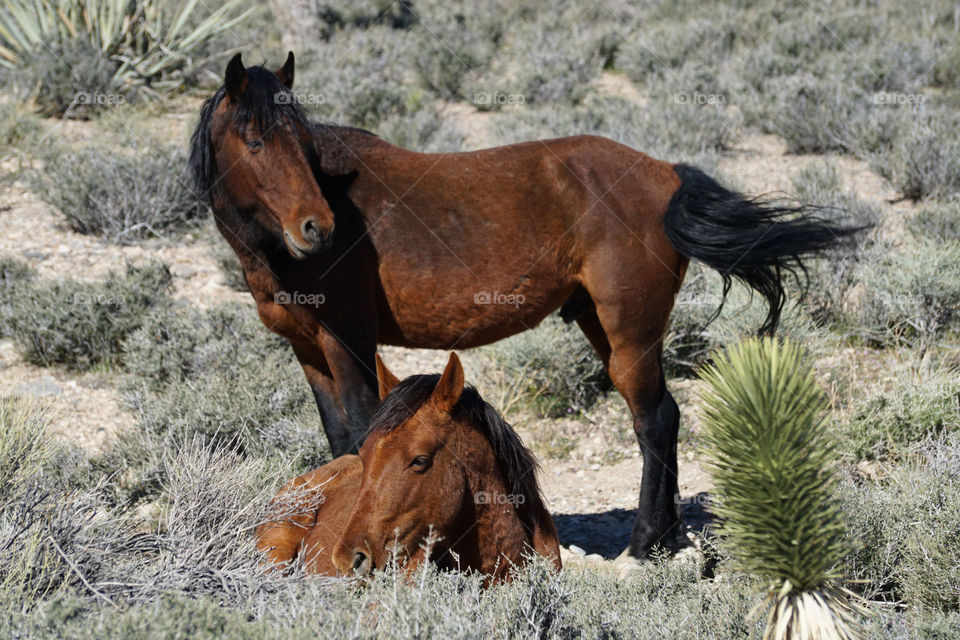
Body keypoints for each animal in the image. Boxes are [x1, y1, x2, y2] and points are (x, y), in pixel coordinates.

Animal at [191, 52, 860, 556]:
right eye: (255, 141)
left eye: (303, 144)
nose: (318, 229)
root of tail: (666, 173)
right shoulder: (308, 351)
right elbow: (338, 440)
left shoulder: (348, 342)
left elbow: (359, 435)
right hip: (600, 323)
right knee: (664, 416)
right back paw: (666, 539)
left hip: (629, 330)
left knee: (653, 419)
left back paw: (643, 545)